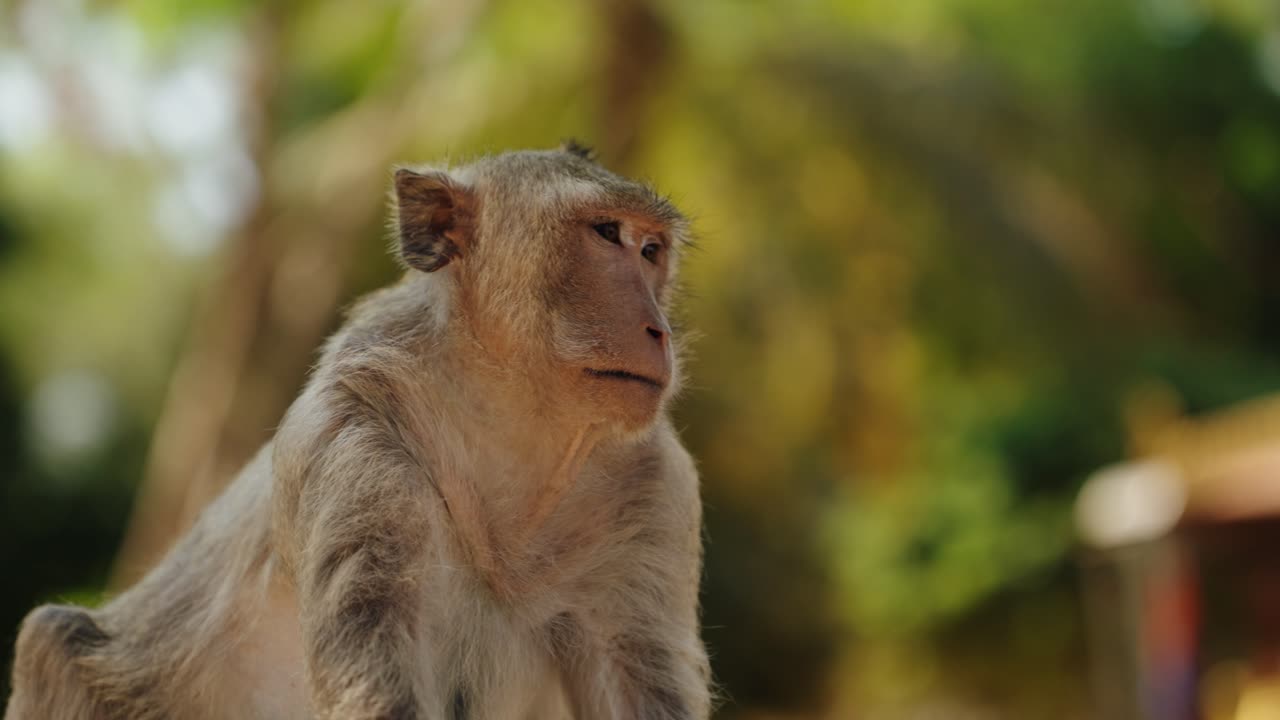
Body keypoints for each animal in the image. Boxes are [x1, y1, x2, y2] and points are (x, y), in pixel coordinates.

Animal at [4, 143, 712, 720]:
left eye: (651, 251)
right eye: (606, 234)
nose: (658, 330)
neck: (510, 430)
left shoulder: (655, 489)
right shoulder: (356, 440)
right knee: (52, 642)